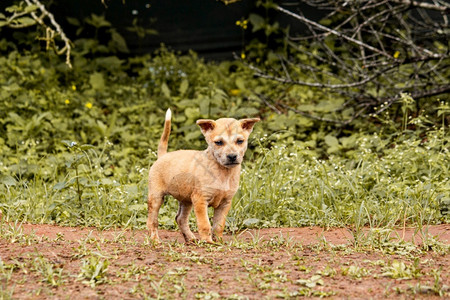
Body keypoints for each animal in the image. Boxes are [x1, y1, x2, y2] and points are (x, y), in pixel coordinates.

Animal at [148, 109, 260, 243]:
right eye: (219, 142)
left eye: (239, 141)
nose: (232, 156)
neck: (223, 172)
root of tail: (163, 156)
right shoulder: (201, 200)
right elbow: (205, 224)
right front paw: (208, 241)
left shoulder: (225, 203)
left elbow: (219, 225)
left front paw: (219, 241)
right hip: (156, 197)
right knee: (152, 221)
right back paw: (155, 240)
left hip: (186, 201)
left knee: (180, 218)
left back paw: (190, 239)